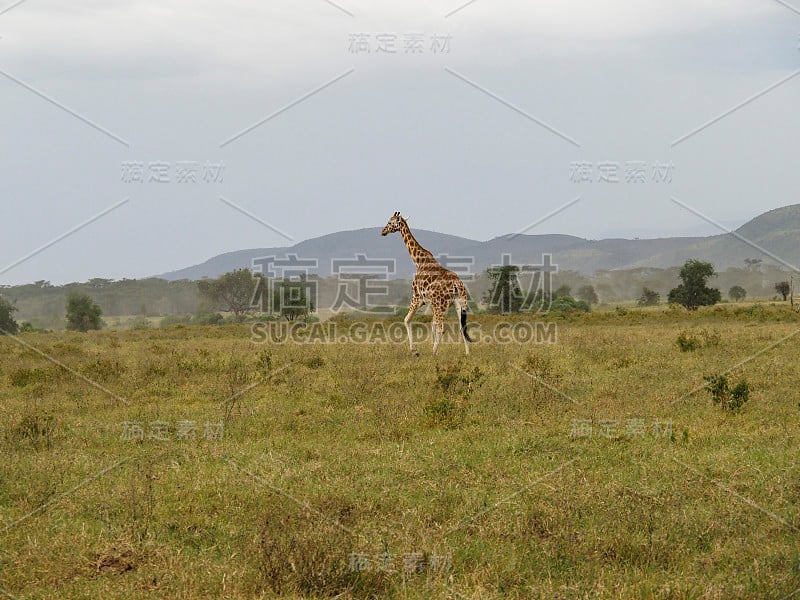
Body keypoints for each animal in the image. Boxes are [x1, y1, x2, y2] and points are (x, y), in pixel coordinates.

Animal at [380, 211, 472, 354]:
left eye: (390, 222)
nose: (383, 232)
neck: (418, 261)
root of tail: (457, 285)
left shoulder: (417, 297)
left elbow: (406, 320)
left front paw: (414, 351)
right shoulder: (429, 303)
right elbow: (431, 325)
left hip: (440, 305)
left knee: (441, 328)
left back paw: (433, 353)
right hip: (459, 303)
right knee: (462, 326)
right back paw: (467, 353)